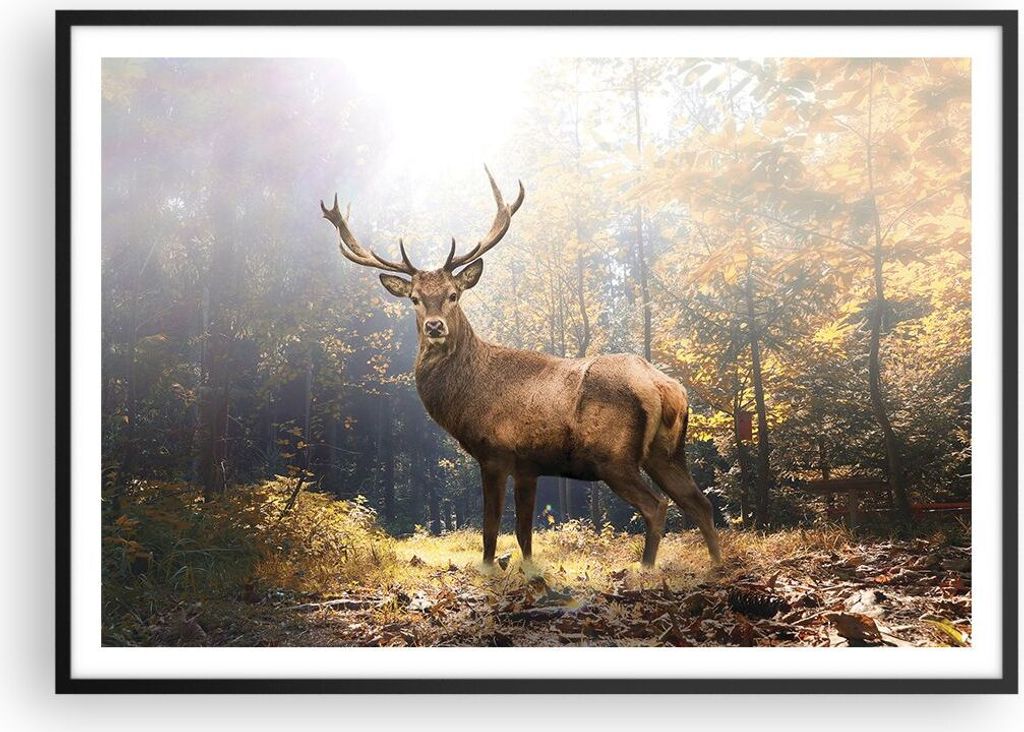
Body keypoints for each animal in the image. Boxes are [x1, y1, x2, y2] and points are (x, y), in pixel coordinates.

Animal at [319, 167, 722, 569]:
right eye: (415, 299)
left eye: (453, 294)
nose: (435, 326)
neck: (467, 396)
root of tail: (664, 386)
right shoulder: (529, 464)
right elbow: (524, 531)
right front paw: (528, 570)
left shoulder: (494, 452)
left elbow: (491, 526)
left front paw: (488, 569)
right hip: (666, 452)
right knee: (700, 502)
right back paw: (717, 564)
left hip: (614, 456)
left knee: (657, 506)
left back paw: (646, 568)